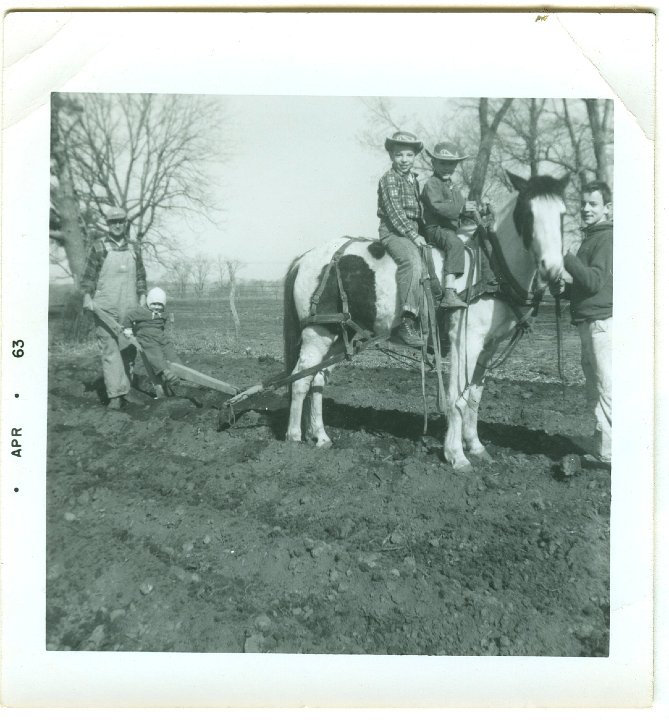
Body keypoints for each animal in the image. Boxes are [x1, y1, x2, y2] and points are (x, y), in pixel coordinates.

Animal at [282, 171, 568, 470]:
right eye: (528, 213)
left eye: (563, 214)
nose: (552, 269)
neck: (489, 267)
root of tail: (306, 257)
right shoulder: (464, 341)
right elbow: (457, 398)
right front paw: (456, 455)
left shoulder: (488, 346)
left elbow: (475, 397)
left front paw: (476, 447)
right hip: (317, 332)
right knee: (300, 380)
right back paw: (294, 438)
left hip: (339, 335)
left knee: (317, 379)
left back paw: (321, 437)